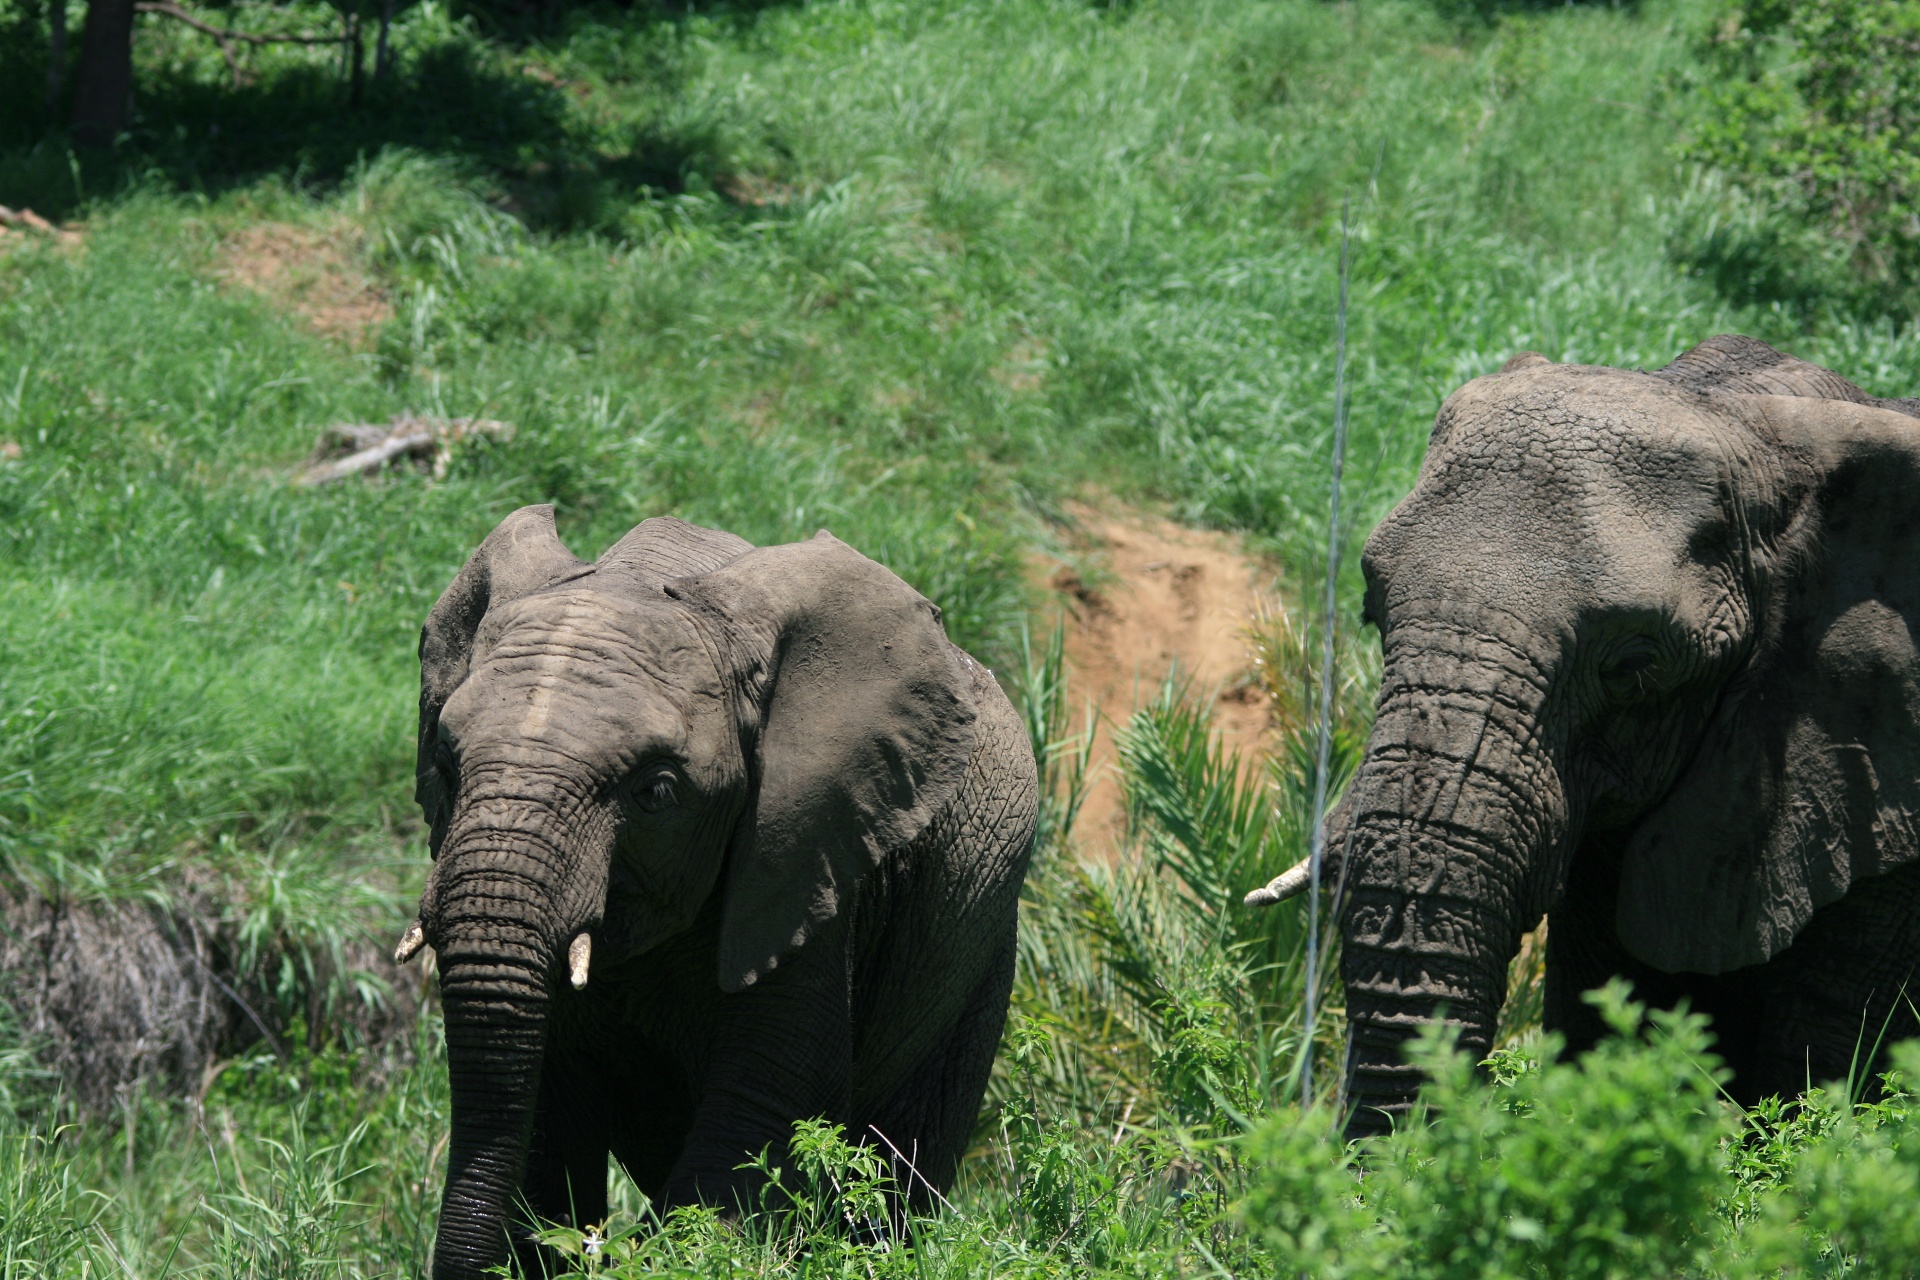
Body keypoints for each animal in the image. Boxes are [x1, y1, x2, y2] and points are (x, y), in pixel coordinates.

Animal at [395, 510, 1044, 1280]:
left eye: (656, 792)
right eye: (445, 763)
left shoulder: (811, 858)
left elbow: (760, 1110)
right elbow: (547, 1124)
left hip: (981, 951)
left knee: (901, 1170)